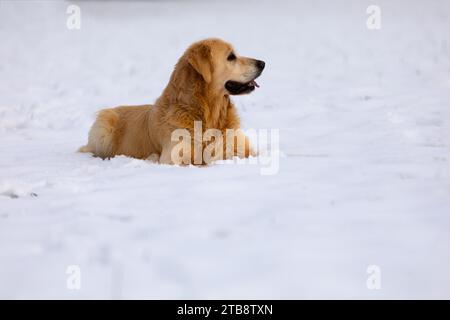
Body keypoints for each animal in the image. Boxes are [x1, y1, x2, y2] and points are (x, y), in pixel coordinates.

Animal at [79, 38, 266, 165]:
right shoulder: (174, 155)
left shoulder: (243, 147)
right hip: (104, 125)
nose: (262, 63)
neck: (207, 112)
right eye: (231, 57)